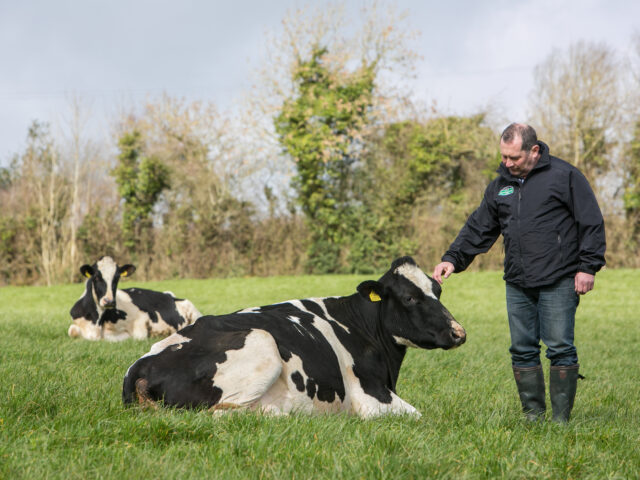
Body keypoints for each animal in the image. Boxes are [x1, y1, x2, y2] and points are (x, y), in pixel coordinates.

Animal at [69, 255, 201, 342]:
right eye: (96, 277)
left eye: (117, 278)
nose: (109, 301)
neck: (96, 323)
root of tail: (170, 295)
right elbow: (72, 331)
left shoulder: (142, 318)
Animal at [122, 256, 468, 418]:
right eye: (409, 298)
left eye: (437, 291)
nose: (458, 332)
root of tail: (140, 365)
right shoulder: (370, 398)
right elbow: (421, 416)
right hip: (261, 343)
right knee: (223, 415)